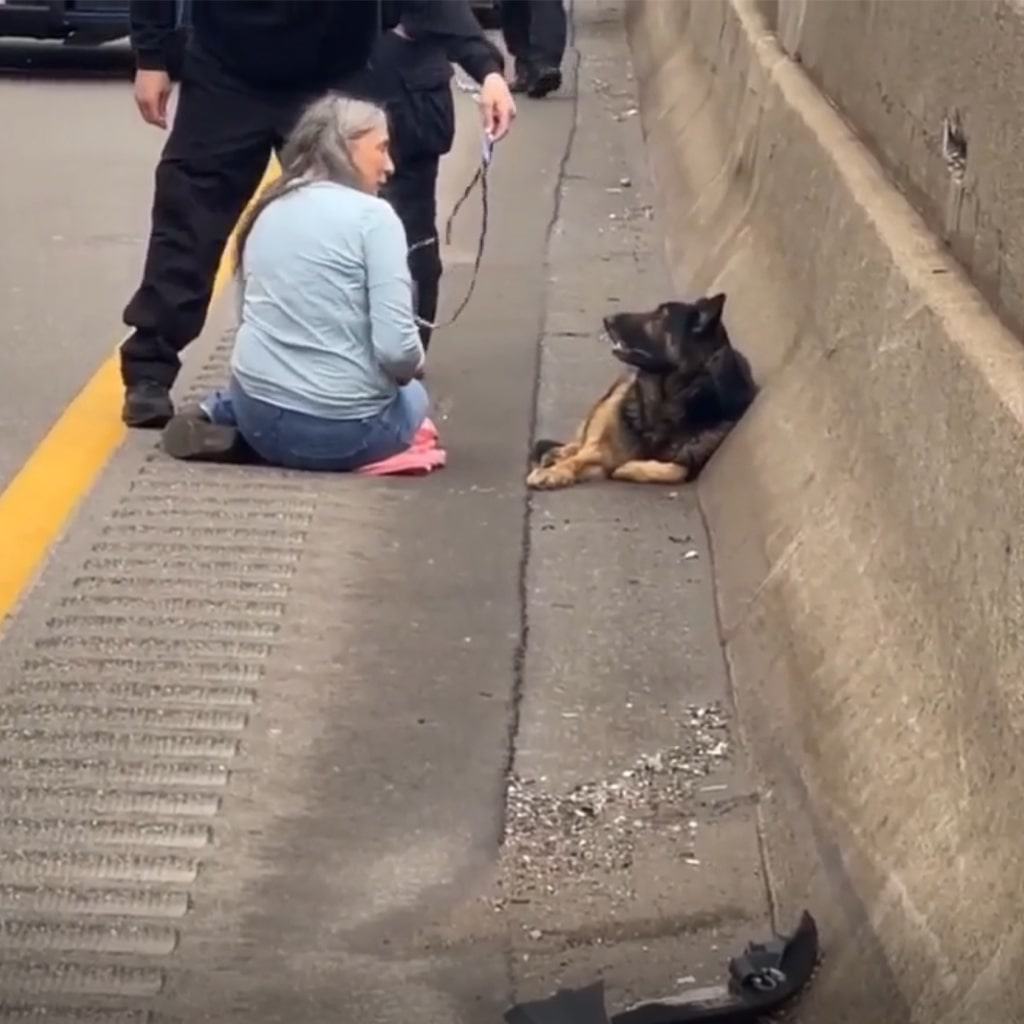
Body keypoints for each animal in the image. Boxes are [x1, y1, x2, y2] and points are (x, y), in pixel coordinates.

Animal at [532, 292, 757, 491]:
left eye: (660, 316)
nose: (607, 319)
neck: (667, 402)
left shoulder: (691, 459)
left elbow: (676, 470)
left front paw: (628, 468)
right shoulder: (605, 446)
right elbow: (585, 455)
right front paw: (555, 472)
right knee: (582, 443)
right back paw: (559, 454)